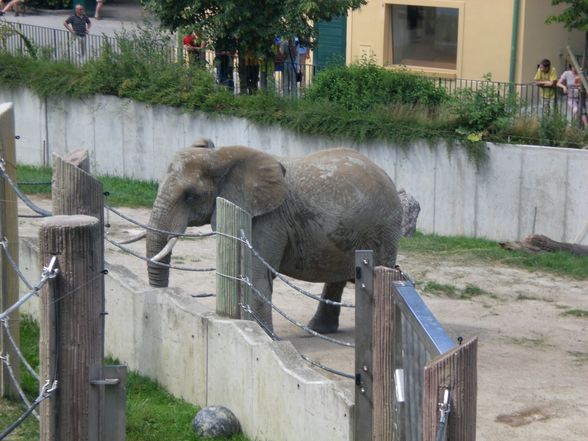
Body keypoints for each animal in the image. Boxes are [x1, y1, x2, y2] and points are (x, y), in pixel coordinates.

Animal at [147, 142, 404, 334]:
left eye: (190, 196)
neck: (220, 155)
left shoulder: (268, 219)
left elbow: (257, 274)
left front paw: (265, 336)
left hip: (385, 229)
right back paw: (319, 329)